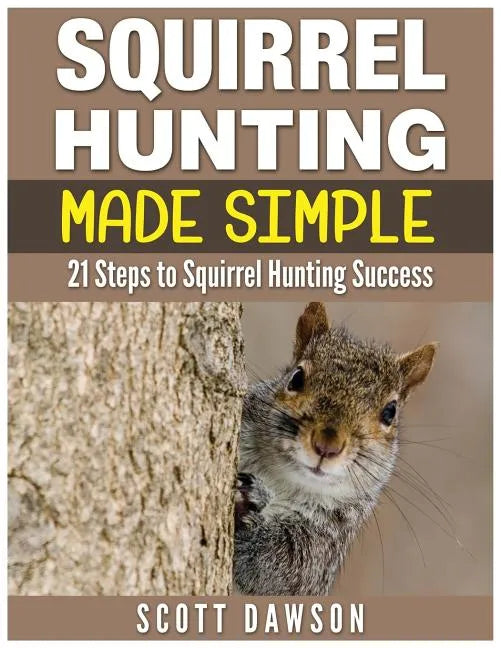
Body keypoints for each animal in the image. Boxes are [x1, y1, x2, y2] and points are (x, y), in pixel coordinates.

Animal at [233, 302, 437, 596]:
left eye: (390, 412)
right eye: (296, 378)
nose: (327, 446)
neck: (281, 479)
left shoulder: (327, 543)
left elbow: (283, 568)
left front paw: (250, 501)